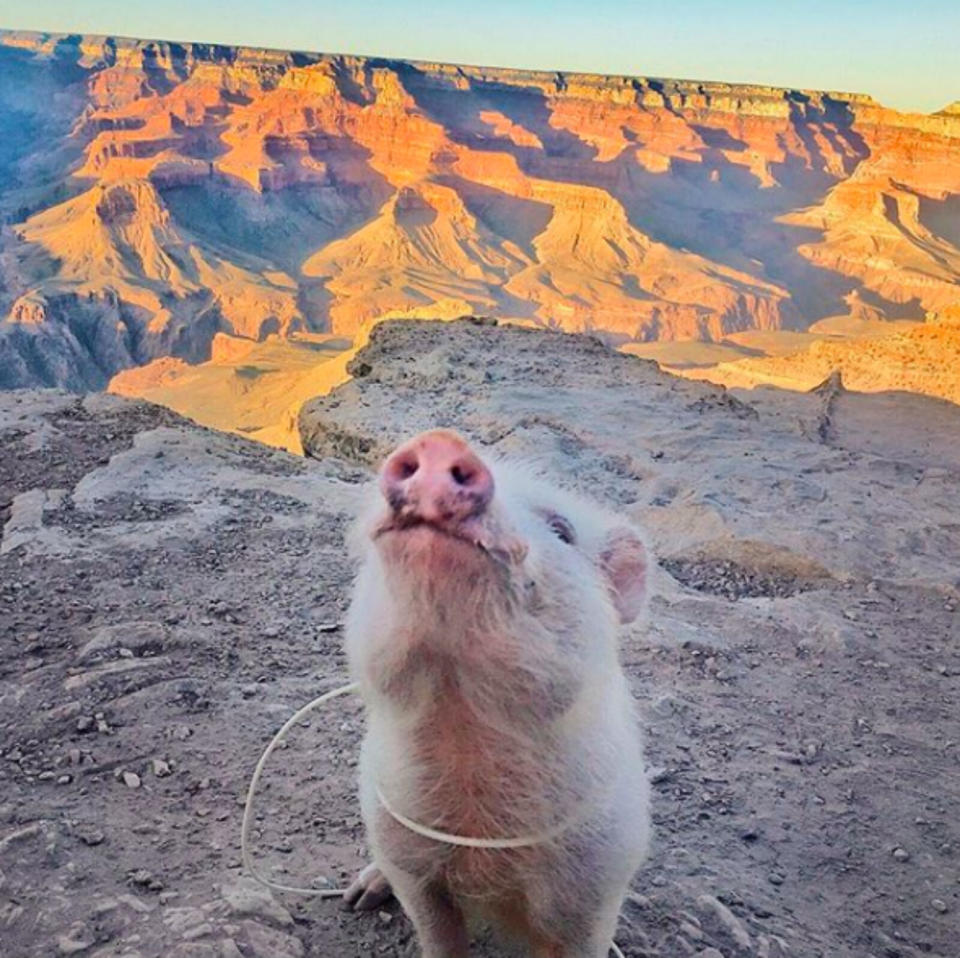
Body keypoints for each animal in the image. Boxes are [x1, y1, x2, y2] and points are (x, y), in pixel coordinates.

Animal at [342, 432, 648, 956]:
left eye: (562, 530)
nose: (440, 441)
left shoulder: (600, 880)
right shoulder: (403, 846)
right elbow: (437, 934)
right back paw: (356, 896)